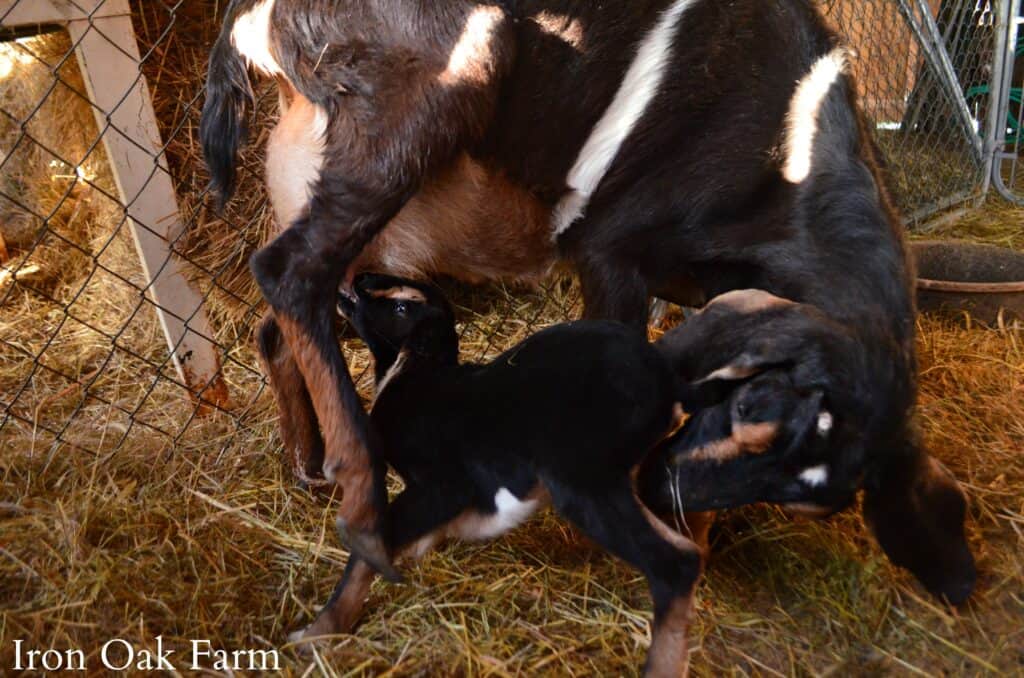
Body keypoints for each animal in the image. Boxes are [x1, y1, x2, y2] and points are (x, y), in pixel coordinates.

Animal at [201, 0, 974, 594]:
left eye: (796, 493)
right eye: (754, 410)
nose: (664, 488)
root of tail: (255, 21)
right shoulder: (611, 250)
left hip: (313, 175)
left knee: (281, 323)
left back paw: (307, 467)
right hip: (418, 109)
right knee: (287, 271)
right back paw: (359, 497)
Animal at [307, 274, 696, 675]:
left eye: (401, 306)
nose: (357, 280)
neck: (415, 376)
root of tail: (670, 386)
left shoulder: (443, 485)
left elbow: (372, 545)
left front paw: (317, 633)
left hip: (581, 480)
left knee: (675, 562)